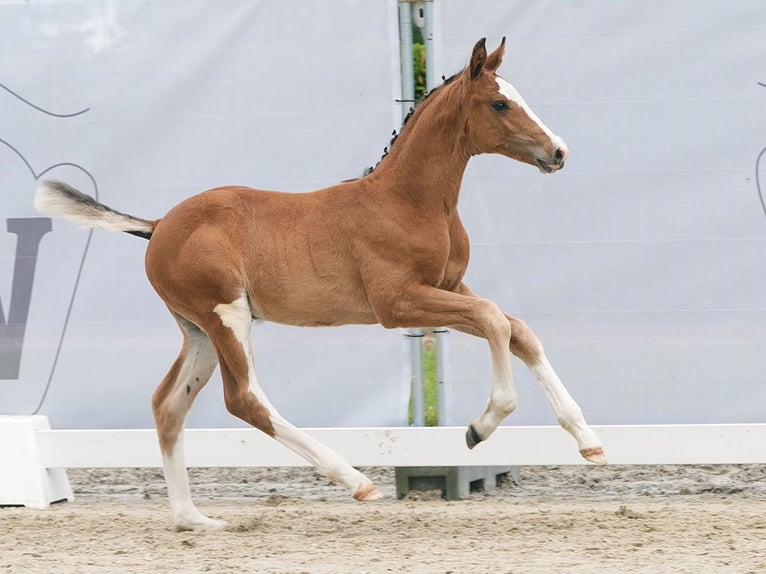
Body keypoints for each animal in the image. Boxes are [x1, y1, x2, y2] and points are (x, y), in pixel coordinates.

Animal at [36, 37, 608, 532]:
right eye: (499, 103)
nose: (559, 152)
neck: (411, 201)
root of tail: (157, 225)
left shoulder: (450, 287)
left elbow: (517, 329)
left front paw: (588, 441)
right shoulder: (398, 304)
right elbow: (494, 320)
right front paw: (480, 427)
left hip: (196, 330)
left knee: (168, 404)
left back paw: (193, 519)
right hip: (227, 317)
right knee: (244, 399)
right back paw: (355, 480)